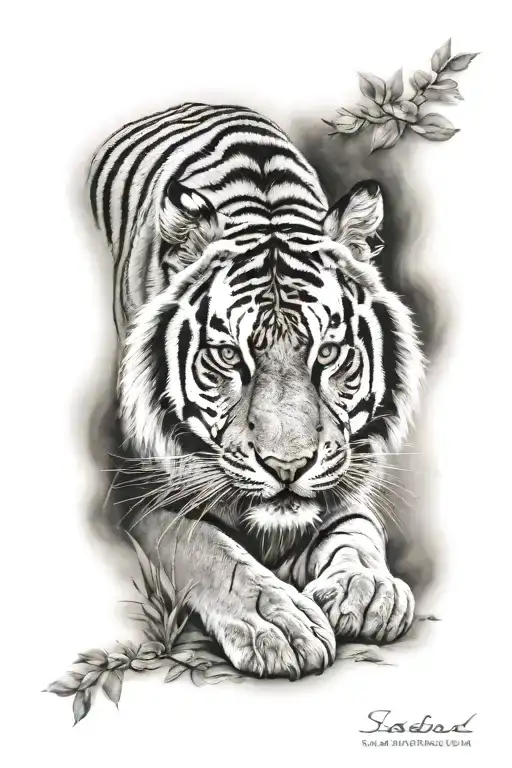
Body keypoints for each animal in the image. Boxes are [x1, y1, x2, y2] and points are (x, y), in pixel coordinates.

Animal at [88, 101, 424, 679]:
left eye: (327, 354)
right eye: (229, 357)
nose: (287, 468)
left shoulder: (345, 470)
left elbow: (358, 527)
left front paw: (366, 588)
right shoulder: (142, 491)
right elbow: (209, 549)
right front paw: (278, 625)